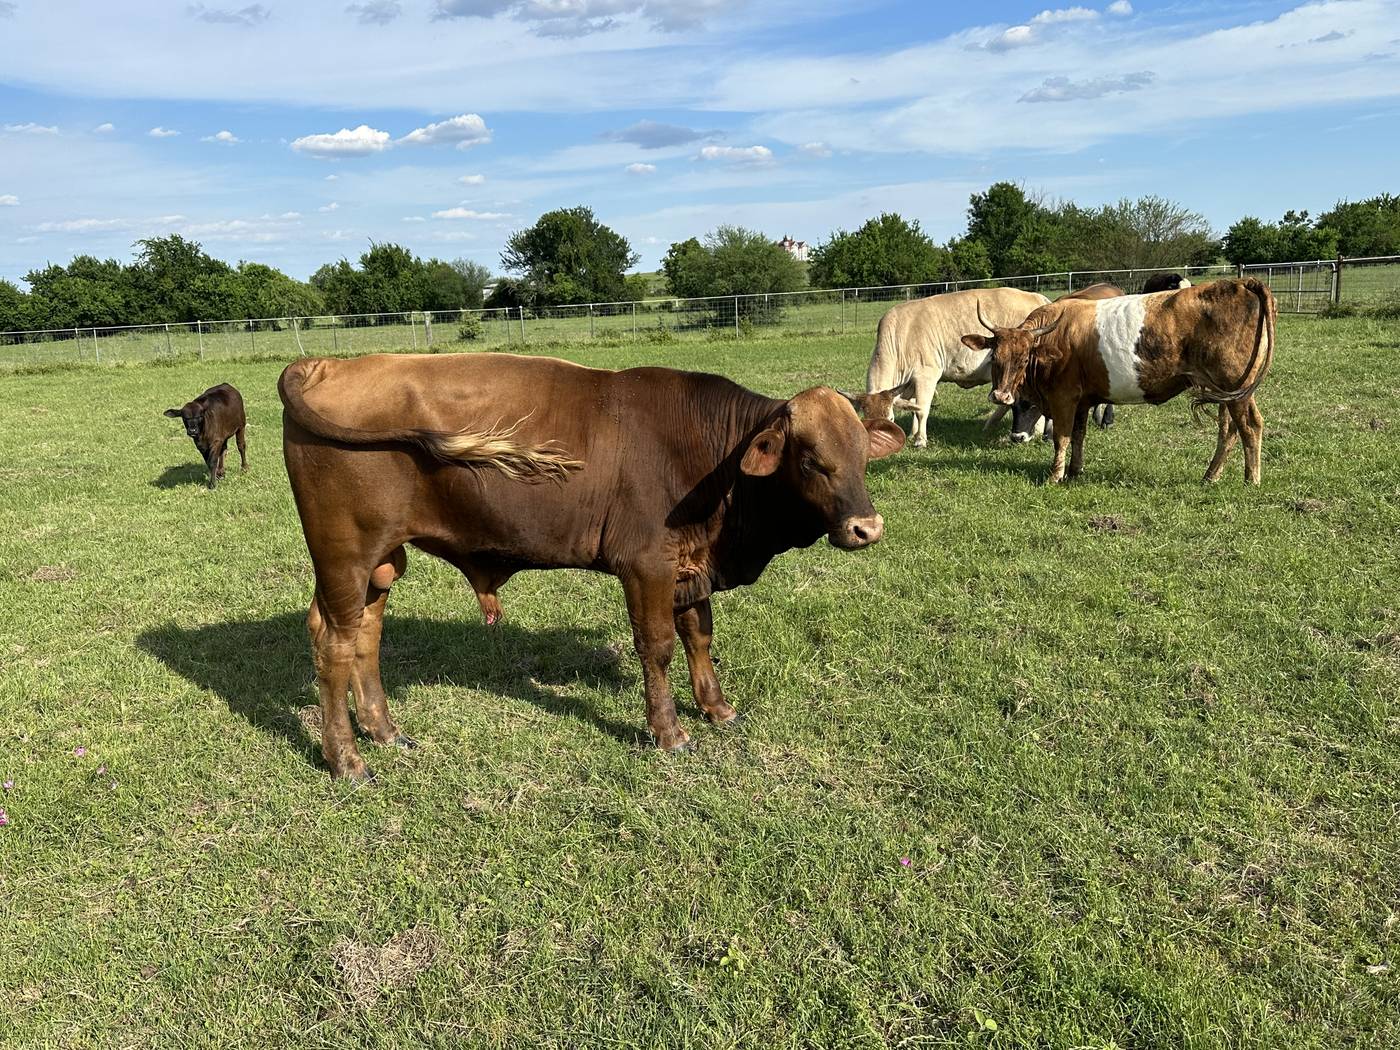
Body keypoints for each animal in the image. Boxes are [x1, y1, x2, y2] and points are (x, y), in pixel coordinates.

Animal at [279, 353, 906, 781]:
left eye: (860, 453)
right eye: (811, 460)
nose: (867, 529)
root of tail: (327, 364)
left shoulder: (688, 567)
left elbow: (699, 635)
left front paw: (717, 708)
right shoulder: (646, 565)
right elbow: (658, 645)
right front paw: (669, 731)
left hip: (380, 564)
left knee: (366, 634)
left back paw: (385, 731)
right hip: (344, 555)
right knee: (334, 642)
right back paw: (346, 759)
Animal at [863, 287, 1050, 449]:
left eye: (890, 419)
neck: (899, 337)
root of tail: (1039, 298)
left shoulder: (926, 375)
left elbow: (922, 409)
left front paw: (920, 440)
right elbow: (913, 407)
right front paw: (912, 434)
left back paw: (1035, 432)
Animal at [961, 279, 1275, 484]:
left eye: (1024, 358)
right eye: (995, 355)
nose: (1000, 396)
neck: (1055, 339)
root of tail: (1241, 283)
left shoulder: (1064, 398)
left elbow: (1062, 437)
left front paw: (1055, 476)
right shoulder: (1082, 401)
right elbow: (1079, 435)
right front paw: (1074, 472)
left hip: (1236, 388)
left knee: (1250, 426)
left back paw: (1251, 480)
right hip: (1225, 391)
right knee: (1228, 430)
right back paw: (1211, 476)